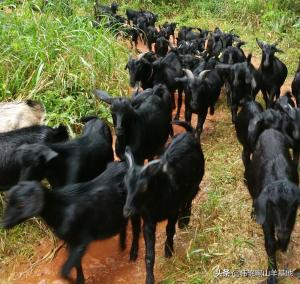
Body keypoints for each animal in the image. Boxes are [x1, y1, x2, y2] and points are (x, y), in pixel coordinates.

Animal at [2, 162, 141, 284]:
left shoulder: (82, 240)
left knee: (136, 228)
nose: (4, 223)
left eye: (21, 204)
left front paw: (75, 280)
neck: (59, 208)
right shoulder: (71, 241)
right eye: (9, 200)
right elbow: (76, 264)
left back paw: (133, 255)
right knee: (123, 225)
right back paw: (122, 246)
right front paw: (80, 280)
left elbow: (64, 271)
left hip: (135, 208)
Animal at [123, 120, 205, 284]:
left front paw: (169, 251)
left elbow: (169, 230)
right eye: (125, 184)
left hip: (196, 182)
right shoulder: (148, 221)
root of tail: (189, 134)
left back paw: (184, 220)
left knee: (189, 199)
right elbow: (149, 254)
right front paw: (149, 278)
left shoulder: (172, 212)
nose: (127, 211)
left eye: (144, 186)